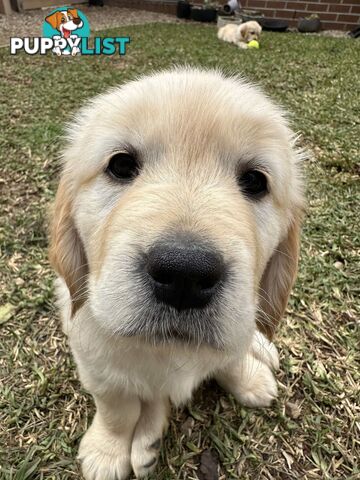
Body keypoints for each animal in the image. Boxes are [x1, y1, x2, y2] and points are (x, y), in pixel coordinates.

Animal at [49, 68, 304, 480]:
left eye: (255, 181)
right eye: (121, 165)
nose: (186, 274)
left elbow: (230, 357)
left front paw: (248, 377)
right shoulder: (97, 366)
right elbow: (118, 410)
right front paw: (107, 451)